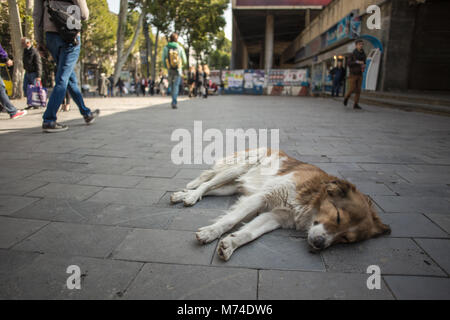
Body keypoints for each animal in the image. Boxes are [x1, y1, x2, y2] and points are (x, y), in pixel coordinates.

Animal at [169, 149, 390, 262]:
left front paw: (230, 244)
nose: (319, 244)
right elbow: (230, 220)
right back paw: (191, 195)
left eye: (345, 239)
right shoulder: (263, 196)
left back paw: (182, 195)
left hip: (231, 187)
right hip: (237, 169)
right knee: (206, 183)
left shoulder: (276, 216)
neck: (312, 200)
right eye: (337, 216)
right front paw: (210, 233)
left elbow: (249, 233)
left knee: (210, 189)